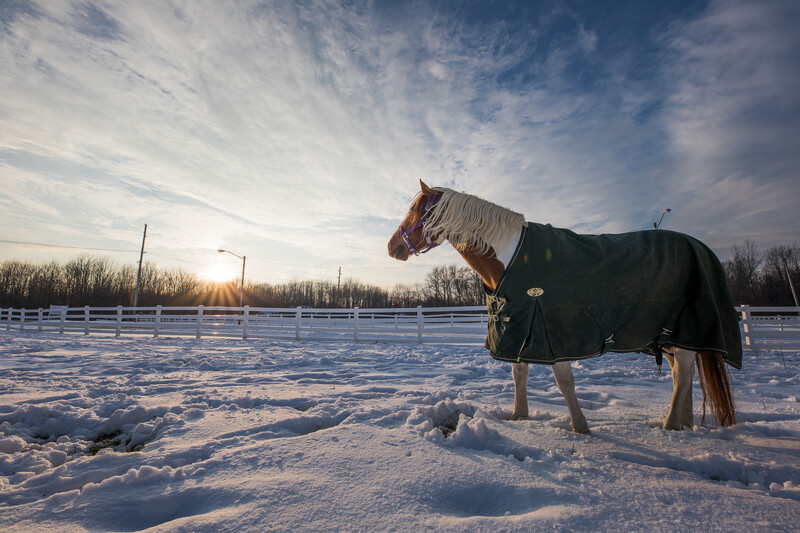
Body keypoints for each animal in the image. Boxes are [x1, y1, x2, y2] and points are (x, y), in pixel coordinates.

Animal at [387, 180, 740, 433]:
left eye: (415, 211)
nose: (392, 248)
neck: (511, 257)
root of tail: (700, 247)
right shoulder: (518, 326)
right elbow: (519, 373)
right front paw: (518, 416)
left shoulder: (553, 332)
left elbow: (564, 382)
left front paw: (580, 429)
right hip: (669, 338)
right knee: (686, 375)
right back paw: (684, 424)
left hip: (687, 330)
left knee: (681, 376)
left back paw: (668, 426)